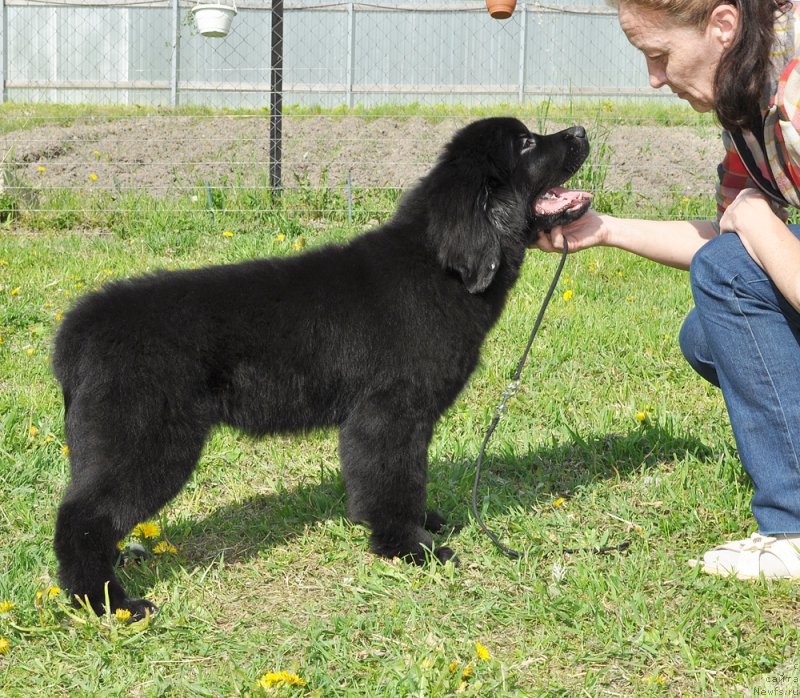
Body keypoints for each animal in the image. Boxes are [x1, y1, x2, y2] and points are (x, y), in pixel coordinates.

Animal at [51, 117, 588, 616]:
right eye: (526, 143)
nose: (581, 130)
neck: (440, 269)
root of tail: (77, 330)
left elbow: (405, 478)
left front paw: (422, 526)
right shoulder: (388, 414)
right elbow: (396, 480)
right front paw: (411, 547)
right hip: (145, 442)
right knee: (81, 518)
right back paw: (107, 601)